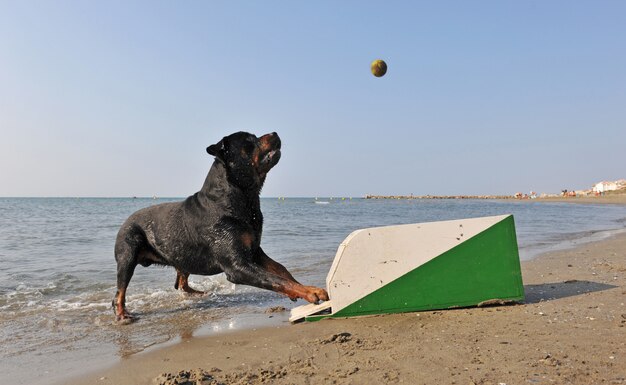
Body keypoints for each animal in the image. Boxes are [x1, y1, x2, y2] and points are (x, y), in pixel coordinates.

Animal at [113, 131, 326, 320]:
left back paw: (198, 293)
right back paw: (122, 314)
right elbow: (273, 278)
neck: (243, 198)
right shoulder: (237, 266)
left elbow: (280, 270)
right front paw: (308, 293)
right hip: (127, 252)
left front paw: (308, 288)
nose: (274, 132)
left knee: (181, 281)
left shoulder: (254, 251)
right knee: (120, 290)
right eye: (249, 140)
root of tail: (125, 221)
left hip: (183, 254)